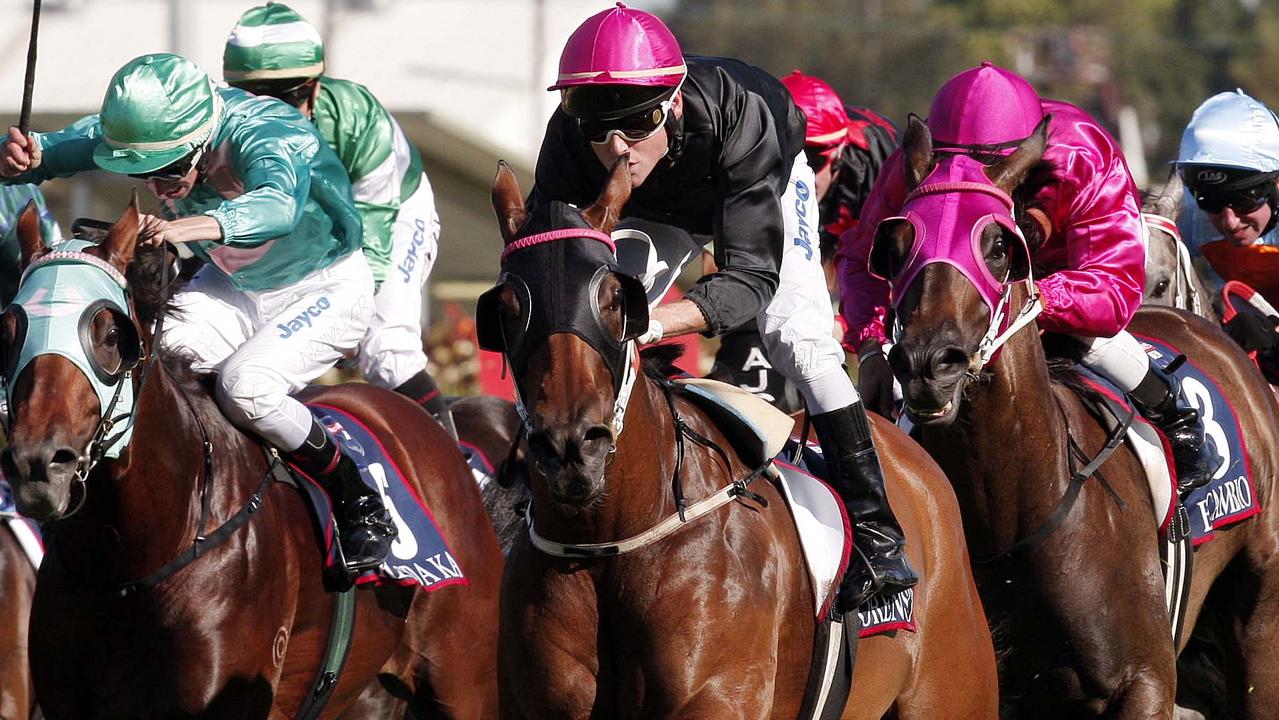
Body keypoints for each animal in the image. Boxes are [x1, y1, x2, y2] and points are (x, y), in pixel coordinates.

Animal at [874, 115, 1279, 716]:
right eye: (897, 245)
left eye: (998, 246)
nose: (928, 361)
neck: (1009, 516)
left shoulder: (1146, 682)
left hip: (1259, 623)